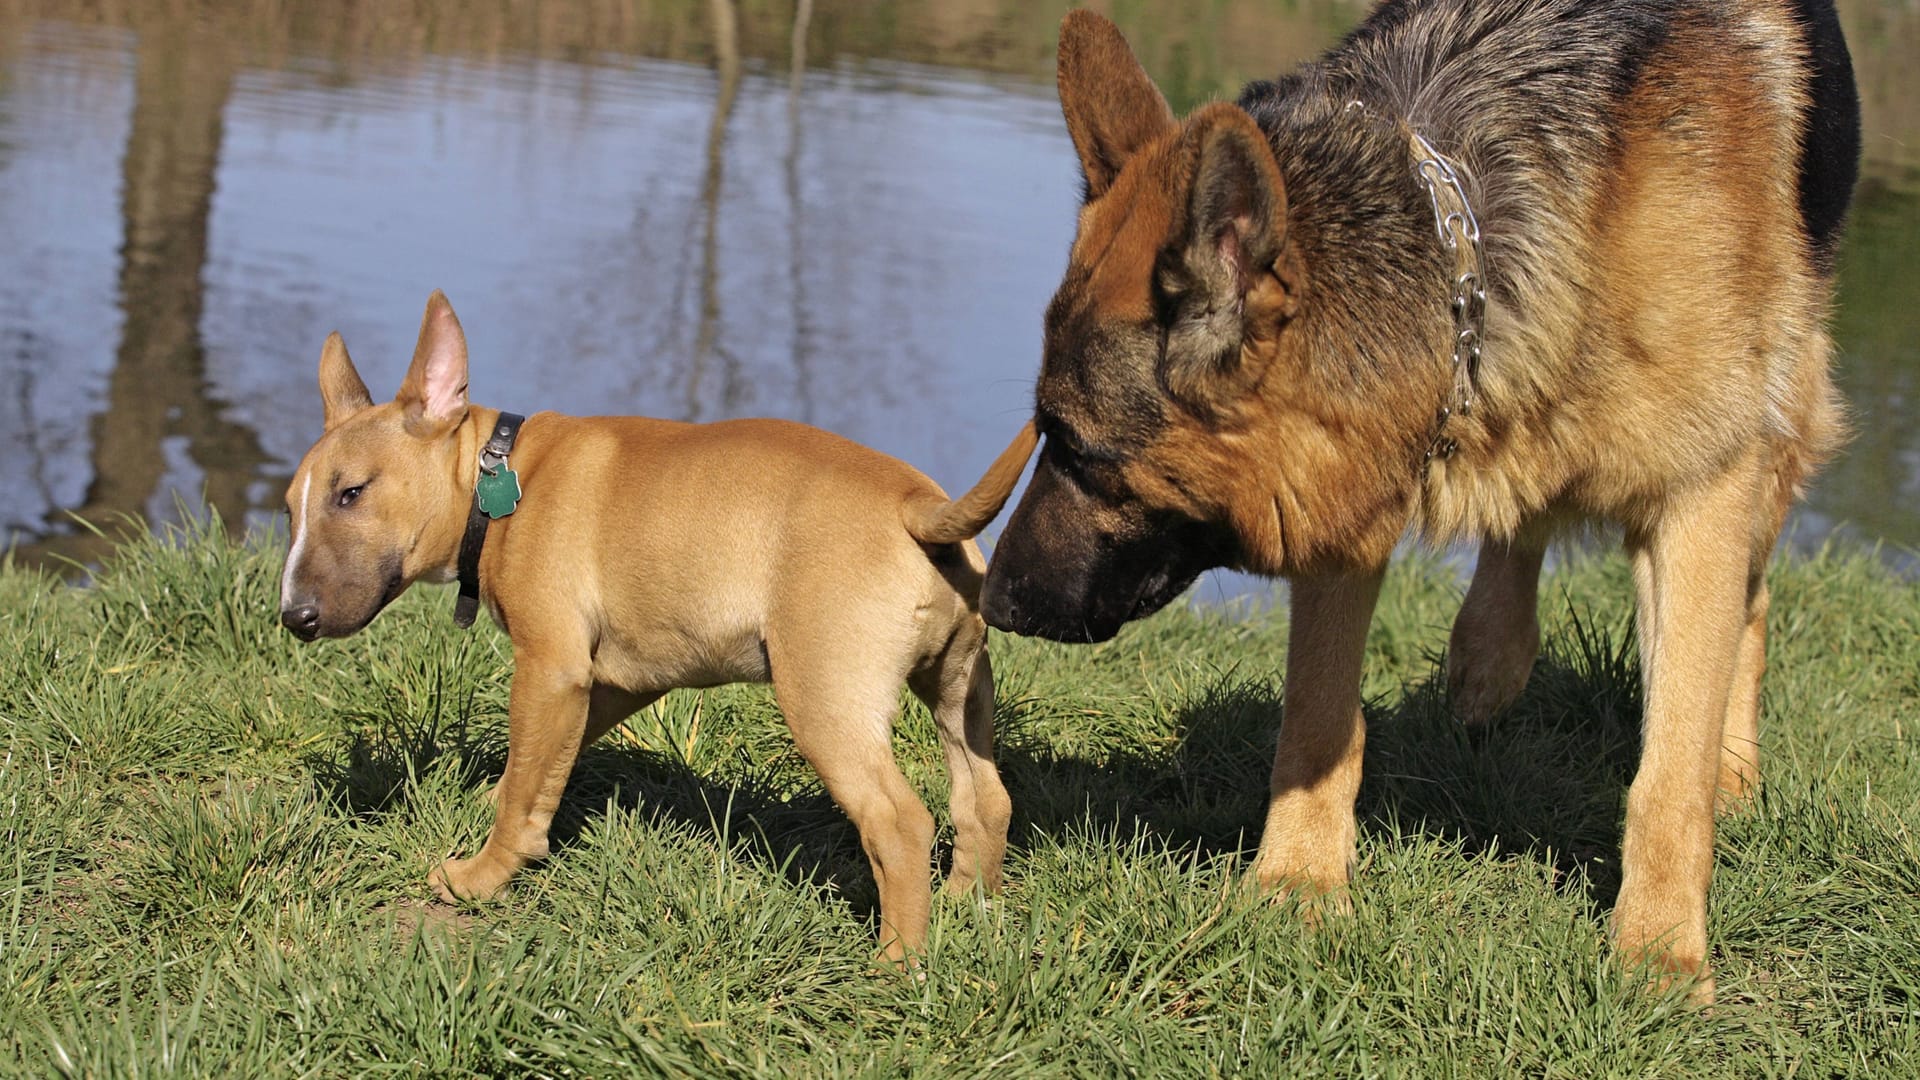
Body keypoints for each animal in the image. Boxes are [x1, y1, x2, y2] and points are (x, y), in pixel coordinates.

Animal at [274, 290, 1036, 953]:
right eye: (288, 508)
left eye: (351, 493)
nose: (293, 617)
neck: (501, 480)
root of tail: (916, 505)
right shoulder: (613, 680)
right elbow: (538, 770)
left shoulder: (549, 668)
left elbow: (523, 786)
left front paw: (479, 878)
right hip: (959, 690)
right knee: (985, 799)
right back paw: (970, 907)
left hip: (826, 702)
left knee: (900, 824)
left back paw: (896, 965)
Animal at [975, 0, 1858, 999]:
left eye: (1078, 448)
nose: (991, 600)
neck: (1465, 234)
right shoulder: (1353, 488)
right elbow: (1318, 718)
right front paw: (1297, 887)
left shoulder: (1702, 488)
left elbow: (1671, 771)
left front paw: (1661, 951)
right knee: (1524, 526)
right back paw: (1488, 657)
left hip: (1777, 429)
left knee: (1748, 604)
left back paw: (1732, 767)